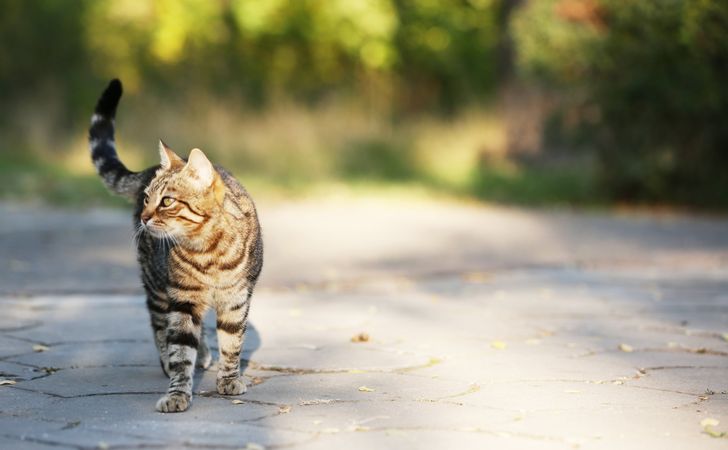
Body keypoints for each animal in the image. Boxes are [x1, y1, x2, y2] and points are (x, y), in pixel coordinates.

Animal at [89, 80, 264, 412]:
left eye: (167, 202)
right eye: (147, 199)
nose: (144, 217)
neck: (208, 251)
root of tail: (148, 167)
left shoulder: (236, 299)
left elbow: (232, 342)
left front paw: (229, 378)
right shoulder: (181, 298)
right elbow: (181, 348)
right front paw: (178, 393)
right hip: (157, 286)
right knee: (159, 324)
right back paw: (171, 361)